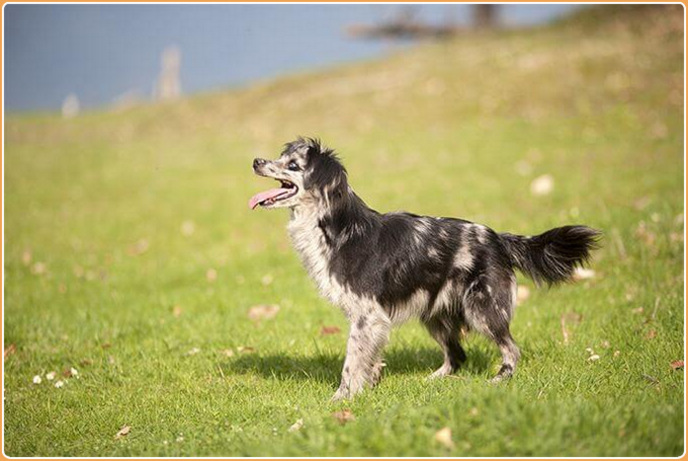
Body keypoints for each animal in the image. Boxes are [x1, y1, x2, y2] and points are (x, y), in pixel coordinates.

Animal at [250, 136, 600, 398]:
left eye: (293, 165)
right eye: (281, 157)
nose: (255, 161)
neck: (337, 226)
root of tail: (498, 238)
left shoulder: (367, 315)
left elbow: (351, 362)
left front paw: (342, 398)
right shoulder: (373, 319)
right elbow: (369, 359)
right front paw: (369, 386)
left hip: (482, 309)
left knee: (511, 349)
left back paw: (501, 379)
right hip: (435, 315)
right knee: (458, 355)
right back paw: (433, 380)